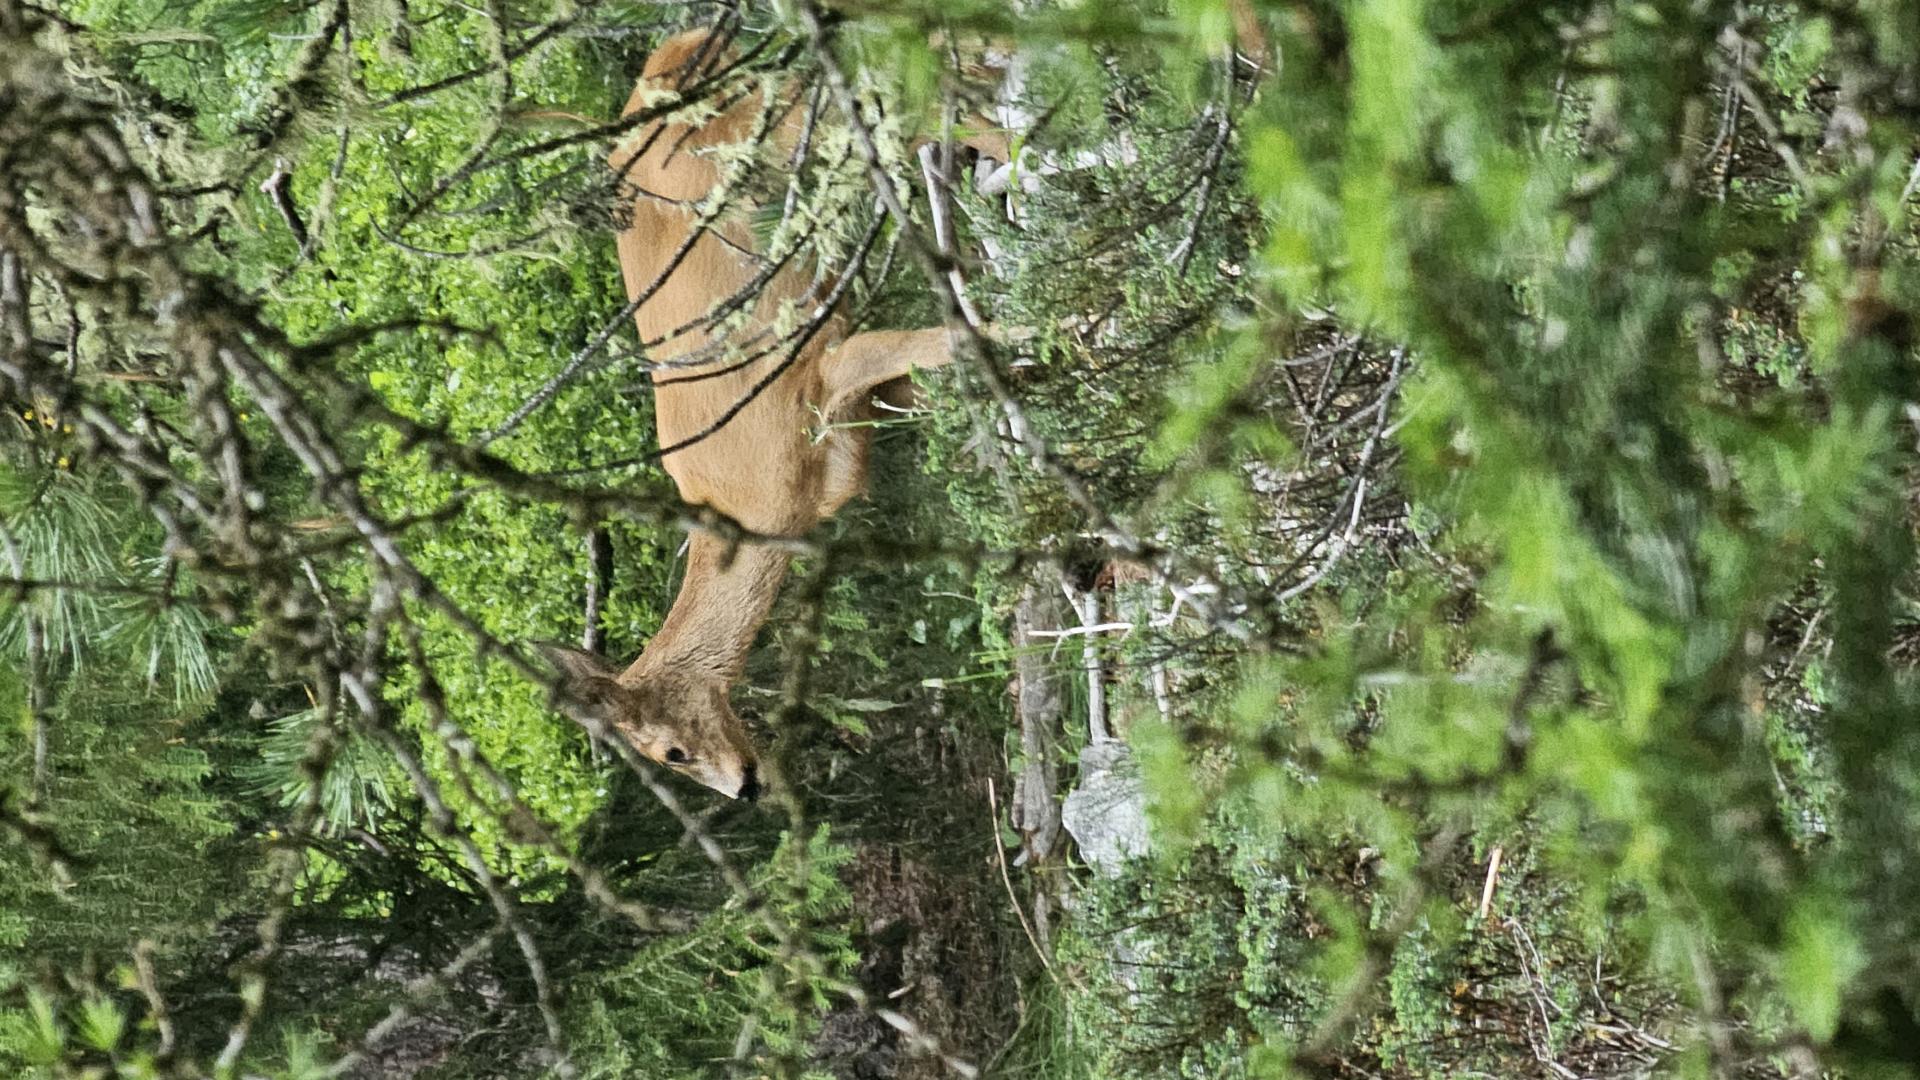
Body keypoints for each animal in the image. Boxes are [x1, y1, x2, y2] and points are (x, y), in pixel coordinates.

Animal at [533, 27, 998, 799]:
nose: (746, 790)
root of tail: (672, 51)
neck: (761, 510)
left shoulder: (815, 367)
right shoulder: (850, 418)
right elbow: (929, 394)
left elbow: (942, 342)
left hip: (787, 124)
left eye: (669, 754)